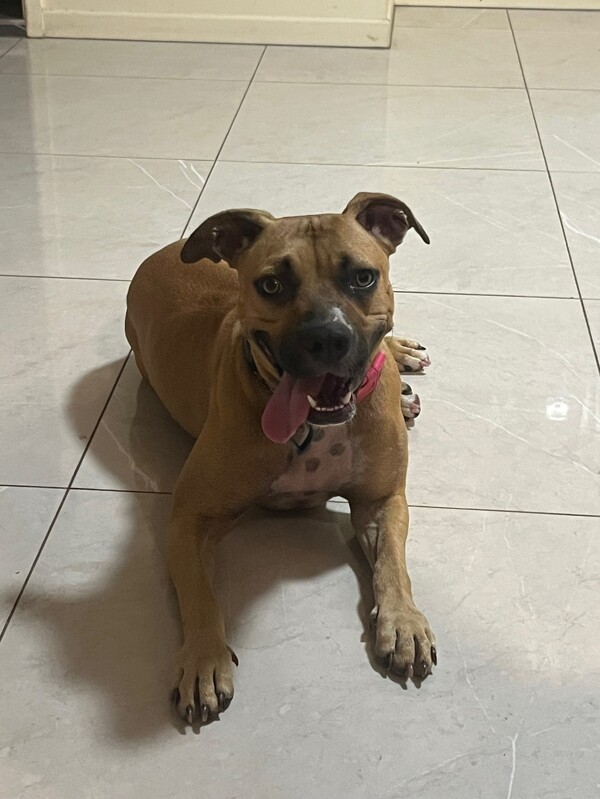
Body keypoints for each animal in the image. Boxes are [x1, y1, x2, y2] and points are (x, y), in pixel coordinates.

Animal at [125, 192, 436, 725]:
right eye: (272, 284)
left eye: (362, 277)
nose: (327, 338)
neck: (317, 428)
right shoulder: (189, 519)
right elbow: (200, 593)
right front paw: (203, 659)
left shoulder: (381, 501)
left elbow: (392, 564)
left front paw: (403, 622)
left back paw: (400, 362)